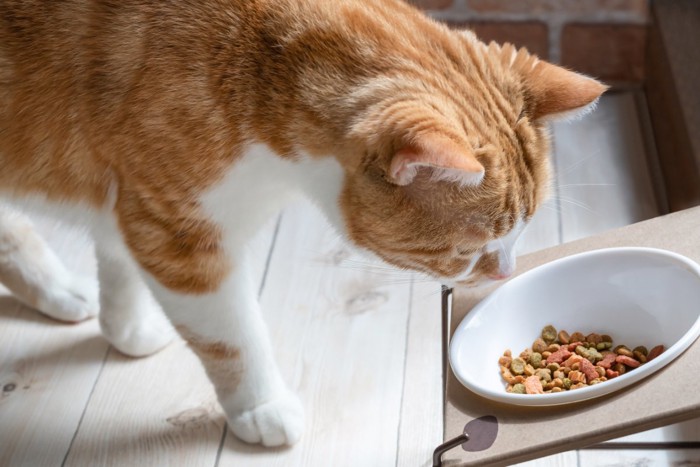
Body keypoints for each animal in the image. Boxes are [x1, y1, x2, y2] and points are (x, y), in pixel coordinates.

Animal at [0, 0, 604, 446]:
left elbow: (116, 252)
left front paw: (124, 327)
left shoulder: (129, 199)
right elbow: (232, 334)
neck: (255, 74)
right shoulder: (175, 230)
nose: (506, 273)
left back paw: (61, 291)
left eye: (523, 231)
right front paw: (262, 405)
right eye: (469, 249)